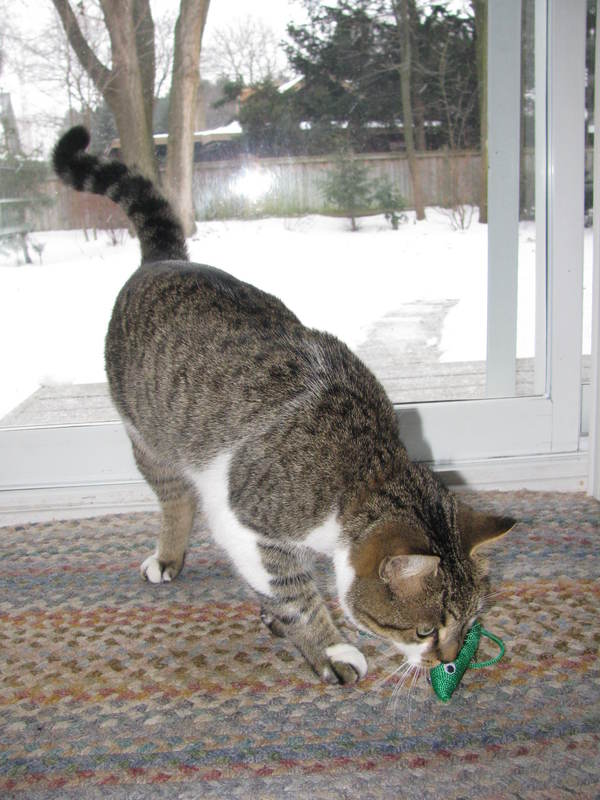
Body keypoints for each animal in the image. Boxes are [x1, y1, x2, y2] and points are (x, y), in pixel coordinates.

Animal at [53, 126, 515, 685]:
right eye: (425, 630)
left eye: (470, 620)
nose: (449, 661)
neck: (363, 472)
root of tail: (164, 256)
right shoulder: (246, 523)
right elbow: (293, 593)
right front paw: (328, 649)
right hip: (149, 439)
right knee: (176, 499)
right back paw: (168, 554)